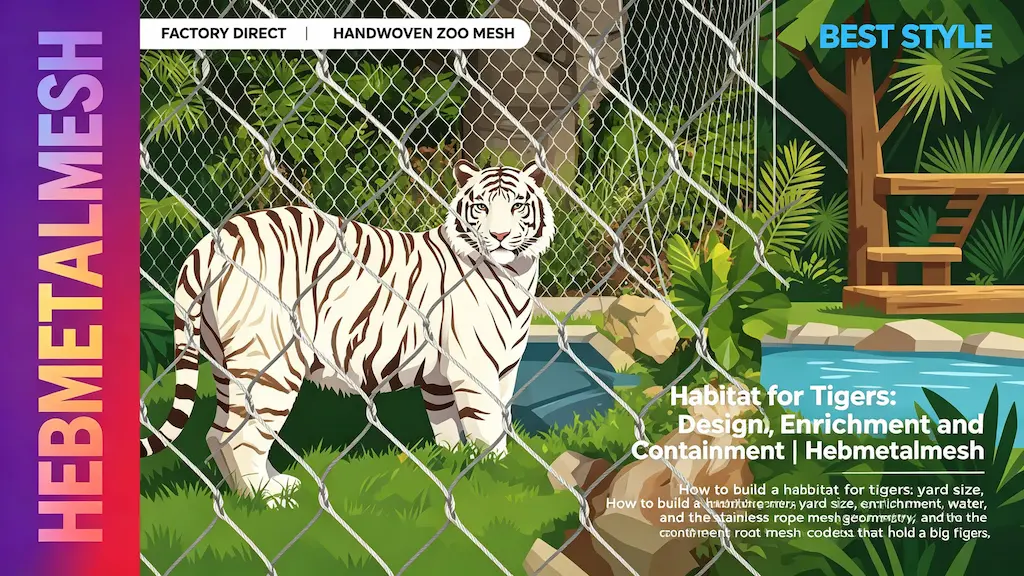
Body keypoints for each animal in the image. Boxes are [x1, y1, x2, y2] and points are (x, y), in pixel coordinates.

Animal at [140, 160, 555, 506]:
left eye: (518, 206)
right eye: (481, 207)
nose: (499, 235)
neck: (514, 272)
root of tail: (212, 241)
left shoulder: (474, 372)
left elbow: (451, 425)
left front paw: (457, 465)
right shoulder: (474, 368)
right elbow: (487, 425)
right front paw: (498, 474)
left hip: (227, 363)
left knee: (218, 432)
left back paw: (265, 488)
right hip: (271, 361)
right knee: (238, 435)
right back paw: (268, 498)